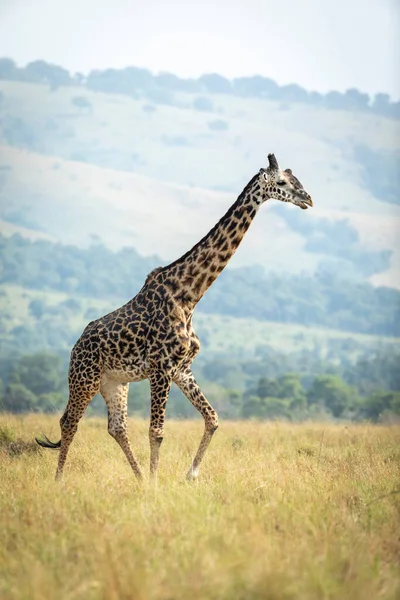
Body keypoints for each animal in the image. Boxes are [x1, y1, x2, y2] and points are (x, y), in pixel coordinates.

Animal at [36, 155, 312, 482]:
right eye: (282, 182)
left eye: (296, 179)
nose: (308, 199)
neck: (189, 296)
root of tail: (75, 346)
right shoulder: (161, 368)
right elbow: (157, 432)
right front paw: (157, 484)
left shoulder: (182, 369)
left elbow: (212, 418)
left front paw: (189, 475)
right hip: (84, 377)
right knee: (69, 421)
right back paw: (60, 480)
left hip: (115, 383)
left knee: (117, 427)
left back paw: (139, 478)